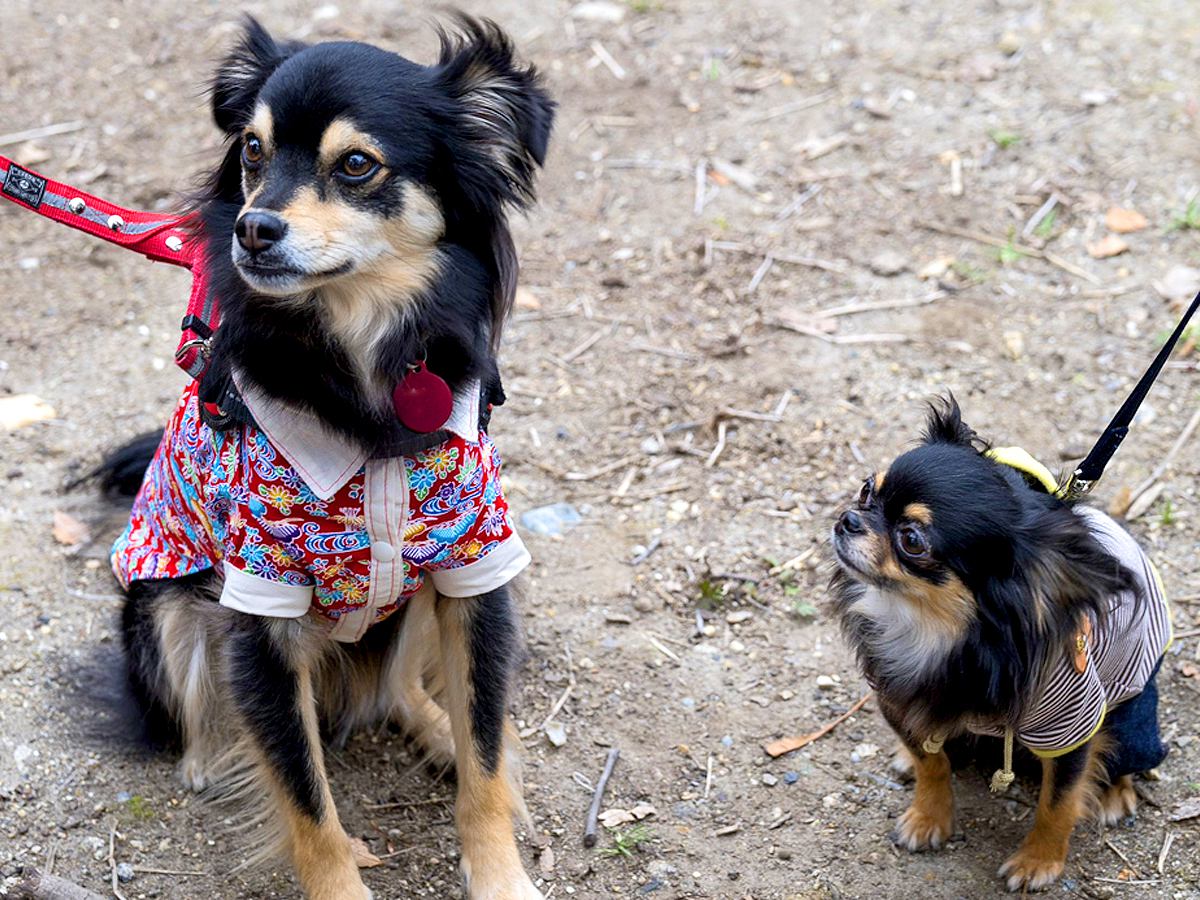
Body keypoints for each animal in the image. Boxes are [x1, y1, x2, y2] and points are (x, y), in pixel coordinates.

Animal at [100, 14, 554, 900]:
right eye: (252, 150)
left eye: (355, 165)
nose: (251, 227)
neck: (361, 362)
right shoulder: (260, 608)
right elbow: (308, 804)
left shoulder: (473, 567)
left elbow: (484, 758)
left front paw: (500, 871)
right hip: (163, 599)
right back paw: (212, 753)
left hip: (413, 599)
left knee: (402, 689)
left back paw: (438, 730)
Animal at [830, 400, 1166, 897]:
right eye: (866, 489)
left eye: (912, 540)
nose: (848, 519)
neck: (933, 629)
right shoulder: (896, 695)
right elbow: (931, 764)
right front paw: (928, 817)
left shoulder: (1071, 727)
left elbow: (1058, 802)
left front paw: (1038, 861)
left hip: (1131, 718)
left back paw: (1115, 793)